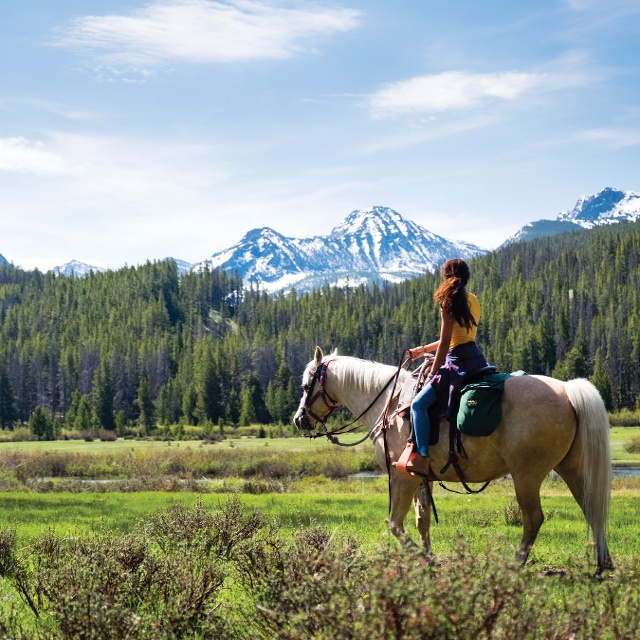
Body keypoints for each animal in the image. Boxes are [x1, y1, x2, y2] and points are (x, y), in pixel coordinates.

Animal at [296, 348, 616, 572]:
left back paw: (516, 564)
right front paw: (427, 557)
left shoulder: (401, 476)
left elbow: (395, 524)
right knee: (592, 508)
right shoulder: (421, 477)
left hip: (526, 475)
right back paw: (603, 564)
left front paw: (419, 557)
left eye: (305, 385)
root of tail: (568, 390)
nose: (299, 420)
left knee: (533, 518)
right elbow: (422, 521)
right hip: (572, 468)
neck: (391, 402)